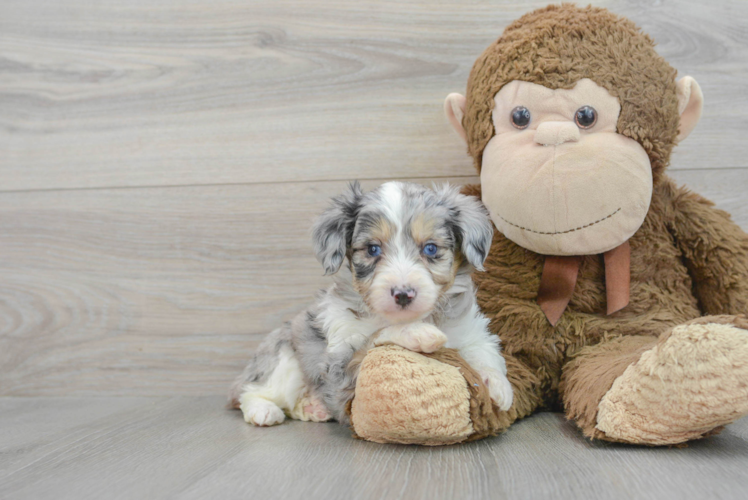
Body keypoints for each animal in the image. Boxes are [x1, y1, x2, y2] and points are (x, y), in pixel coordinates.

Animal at [229, 182, 516, 428]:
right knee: (250, 391)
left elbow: (485, 354)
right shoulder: (340, 366)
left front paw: (497, 384)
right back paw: (263, 410)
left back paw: (313, 407)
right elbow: (376, 337)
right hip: (282, 362)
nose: (403, 294)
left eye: (431, 249)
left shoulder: (471, 332)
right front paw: (416, 333)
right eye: (372, 249)